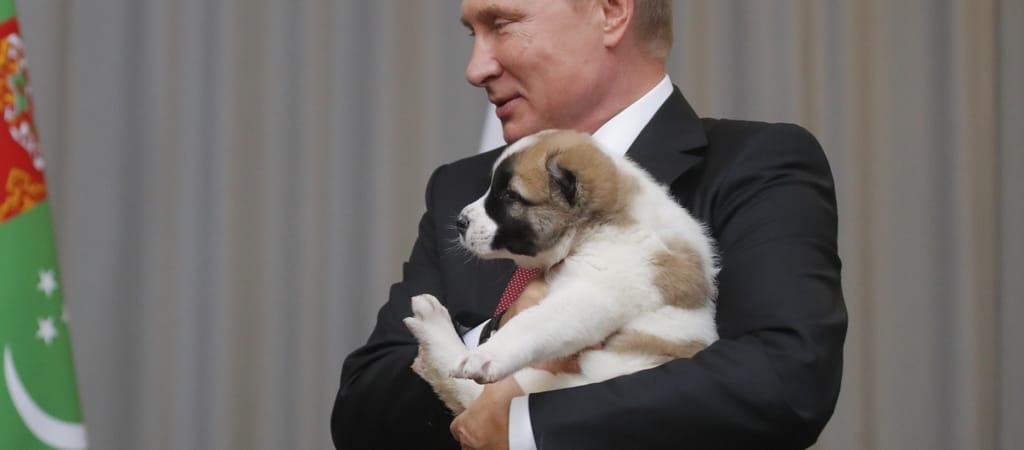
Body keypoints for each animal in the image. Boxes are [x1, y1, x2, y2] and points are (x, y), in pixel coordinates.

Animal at [403, 129, 719, 414]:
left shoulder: (592, 292)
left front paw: (485, 356)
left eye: (509, 195)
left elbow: (532, 322)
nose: (459, 222)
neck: (603, 221)